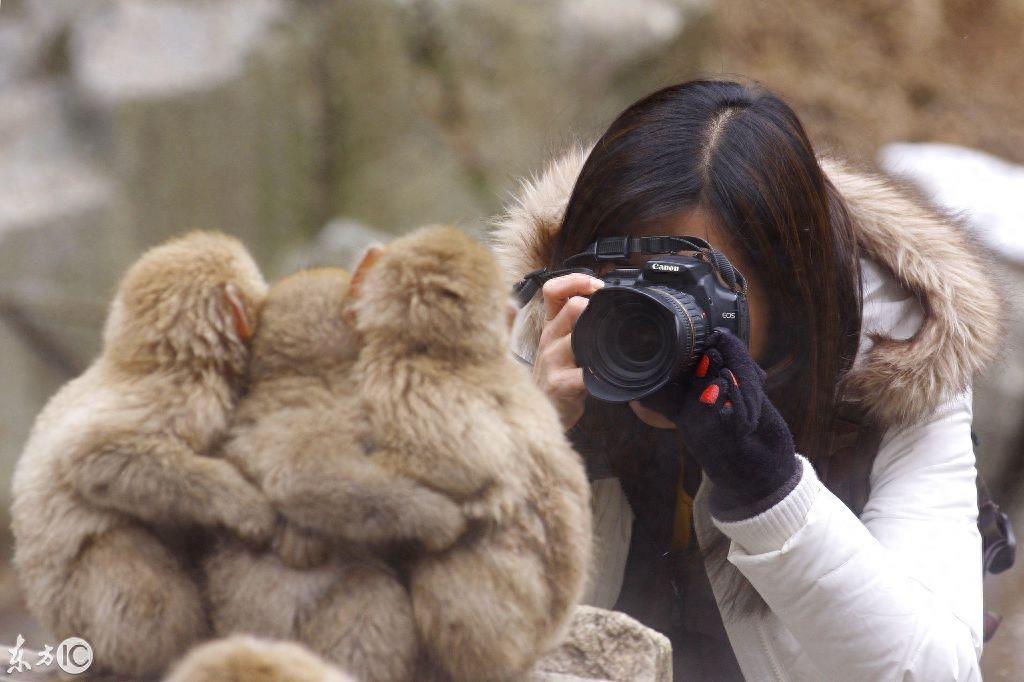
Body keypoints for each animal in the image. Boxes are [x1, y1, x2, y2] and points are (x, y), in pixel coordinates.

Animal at [8, 231, 278, 675]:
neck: (161, 359)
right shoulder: (189, 395)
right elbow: (97, 456)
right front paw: (245, 505)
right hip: (81, 610)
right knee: (128, 560)